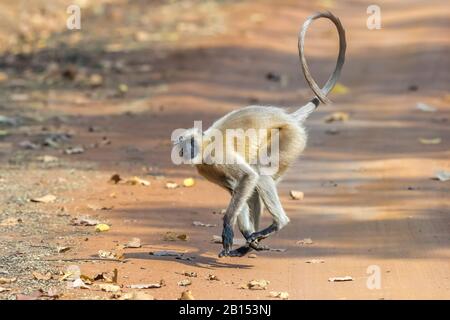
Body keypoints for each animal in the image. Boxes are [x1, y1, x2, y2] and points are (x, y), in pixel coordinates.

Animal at [174, 11, 346, 258]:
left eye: (191, 142)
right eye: (184, 145)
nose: (189, 150)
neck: (205, 146)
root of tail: (288, 118)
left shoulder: (216, 153)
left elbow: (248, 177)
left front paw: (228, 226)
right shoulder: (206, 168)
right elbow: (238, 188)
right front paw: (243, 234)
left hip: (290, 138)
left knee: (260, 172)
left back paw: (276, 224)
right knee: (255, 183)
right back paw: (249, 242)